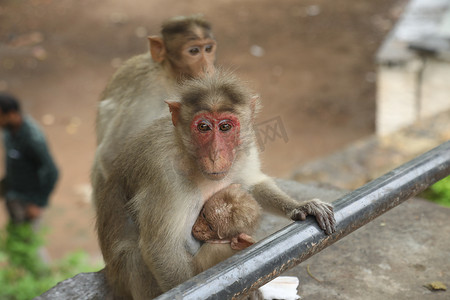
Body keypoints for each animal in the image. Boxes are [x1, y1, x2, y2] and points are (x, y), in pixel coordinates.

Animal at [93, 15, 216, 179]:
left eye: (208, 49)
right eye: (194, 51)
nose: (208, 68)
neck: (169, 74)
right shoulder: (148, 87)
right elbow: (111, 152)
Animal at [95, 69, 334, 298]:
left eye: (225, 127)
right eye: (203, 127)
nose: (215, 154)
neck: (189, 156)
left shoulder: (245, 149)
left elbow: (253, 185)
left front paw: (302, 206)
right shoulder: (162, 172)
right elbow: (160, 248)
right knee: (132, 255)